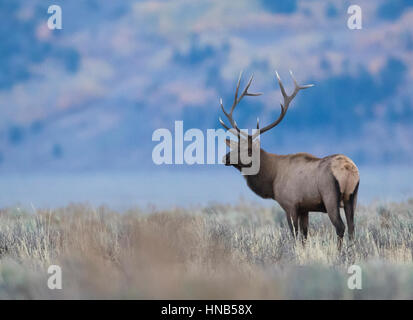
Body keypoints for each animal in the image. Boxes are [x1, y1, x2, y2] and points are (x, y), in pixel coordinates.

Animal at [219, 70, 358, 245]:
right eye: (235, 146)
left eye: (249, 149)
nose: (225, 158)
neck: (272, 179)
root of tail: (348, 170)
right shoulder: (305, 207)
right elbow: (304, 235)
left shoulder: (290, 204)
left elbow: (295, 235)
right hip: (352, 197)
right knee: (352, 227)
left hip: (330, 196)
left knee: (340, 227)